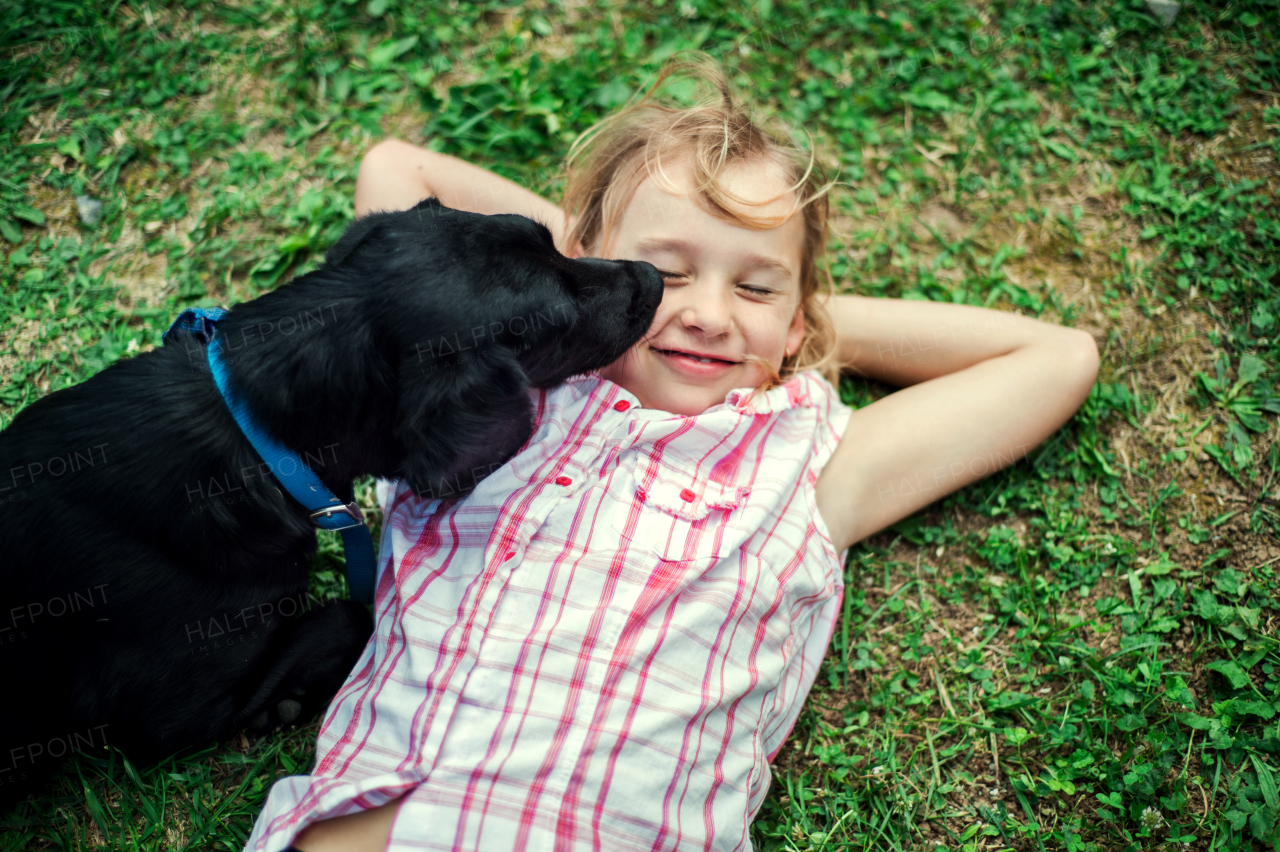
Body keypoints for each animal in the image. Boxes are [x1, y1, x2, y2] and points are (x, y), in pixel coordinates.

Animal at [0, 197, 660, 803]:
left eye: (551, 241)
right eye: (557, 322)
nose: (654, 277)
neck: (254, 435)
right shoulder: (167, 716)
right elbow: (352, 614)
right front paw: (279, 704)